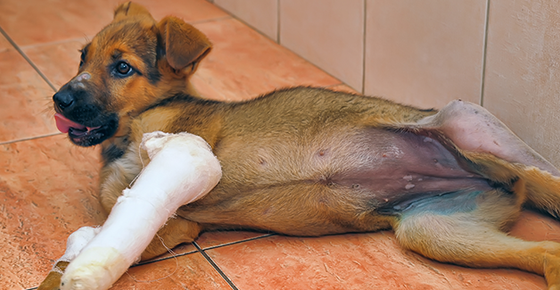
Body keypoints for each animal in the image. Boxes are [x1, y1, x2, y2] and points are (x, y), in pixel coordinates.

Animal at [39, 2, 560, 290]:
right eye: (82, 57)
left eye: (122, 67)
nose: (59, 99)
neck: (124, 134)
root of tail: (501, 181)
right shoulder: (176, 226)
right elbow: (88, 253)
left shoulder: (187, 144)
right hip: (435, 231)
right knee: (547, 252)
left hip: (460, 121)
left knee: (534, 169)